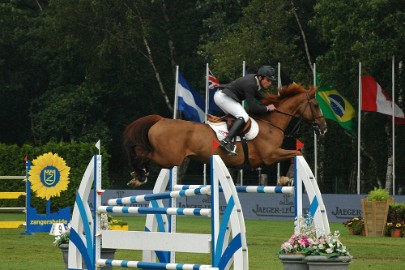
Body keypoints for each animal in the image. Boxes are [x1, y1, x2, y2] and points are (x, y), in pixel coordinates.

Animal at [122, 83, 326, 187]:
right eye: (316, 105)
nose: (323, 128)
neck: (271, 123)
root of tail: (160, 120)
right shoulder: (270, 156)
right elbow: (296, 153)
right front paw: (287, 178)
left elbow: (297, 153)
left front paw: (286, 178)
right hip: (168, 157)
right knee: (143, 154)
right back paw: (139, 175)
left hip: (169, 158)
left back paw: (137, 175)